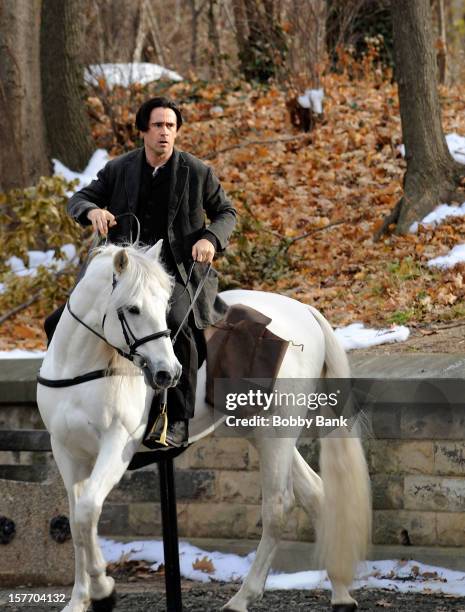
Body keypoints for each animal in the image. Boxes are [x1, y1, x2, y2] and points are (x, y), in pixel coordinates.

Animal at [36, 243, 370, 612]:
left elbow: (86, 512)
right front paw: (80, 599)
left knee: (278, 505)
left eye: (165, 306)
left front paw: (103, 588)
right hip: (260, 430)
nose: (168, 373)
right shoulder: (67, 452)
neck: (82, 367)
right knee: (315, 492)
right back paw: (341, 593)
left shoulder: (116, 446)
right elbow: (76, 521)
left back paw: (243, 597)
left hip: (275, 432)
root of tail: (305, 311)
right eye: (133, 308)